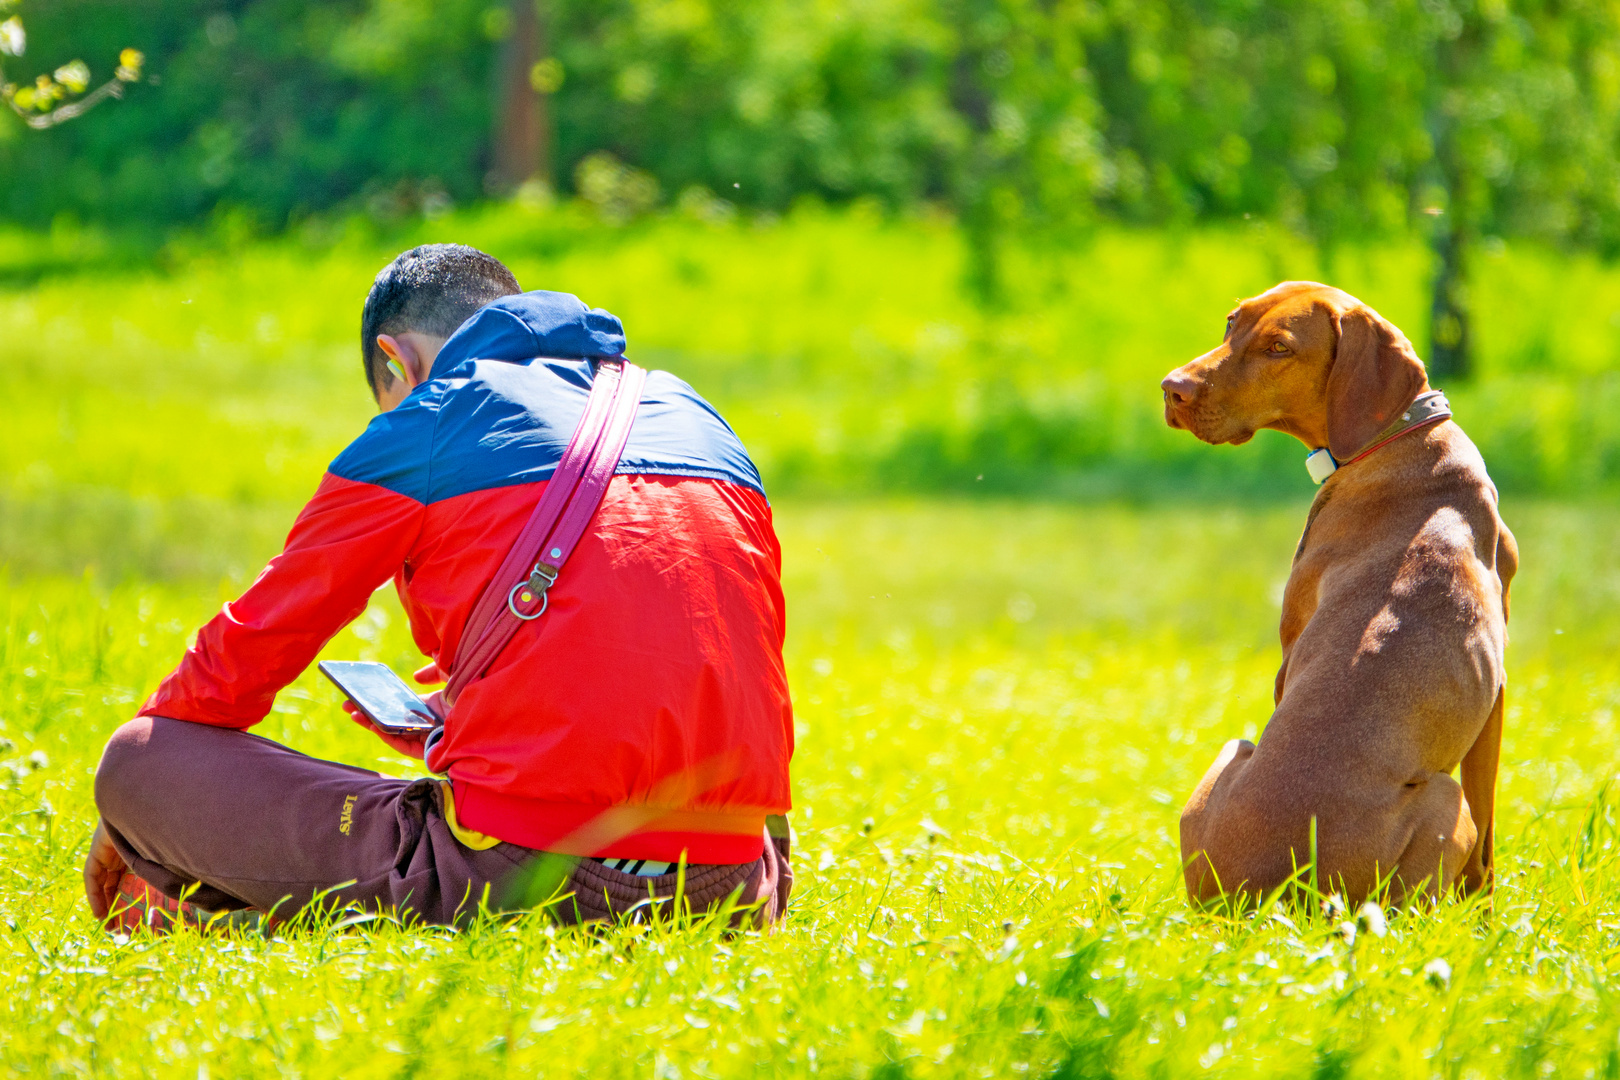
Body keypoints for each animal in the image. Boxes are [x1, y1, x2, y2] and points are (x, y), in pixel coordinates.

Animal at [1159, 283, 1509, 906]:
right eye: (1232, 322)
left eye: (1279, 348)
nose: (1172, 388)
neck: (1398, 437)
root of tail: (1269, 893)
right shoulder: (1496, 699)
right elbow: (1488, 849)